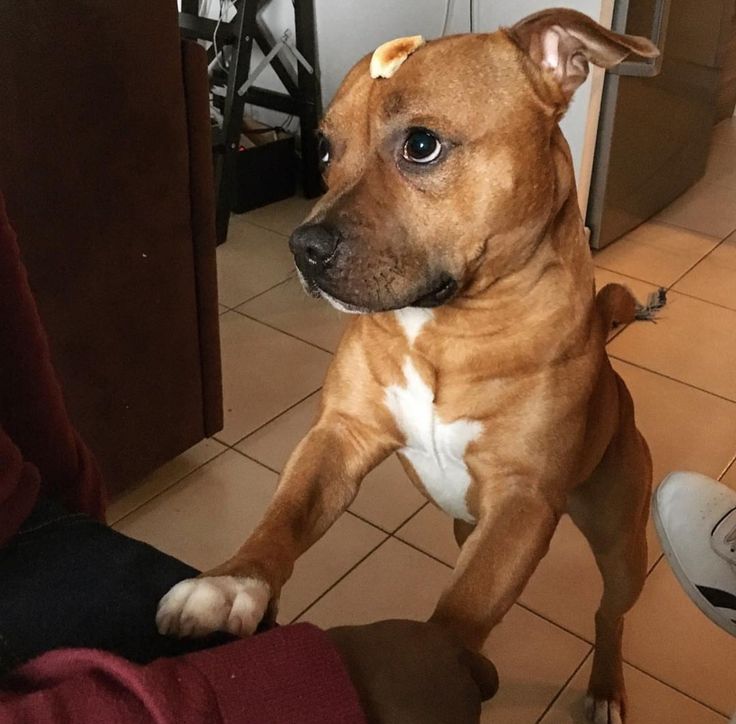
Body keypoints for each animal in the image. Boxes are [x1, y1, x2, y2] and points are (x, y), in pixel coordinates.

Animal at [158, 9, 660, 720]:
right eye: (324, 150)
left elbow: (462, 608)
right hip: (466, 523)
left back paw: (607, 686)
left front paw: (422, 672)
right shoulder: (339, 438)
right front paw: (232, 582)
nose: (302, 246)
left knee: (609, 613)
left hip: (622, 546)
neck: (445, 328)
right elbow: (285, 514)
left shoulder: (522, 500)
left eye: (421, 145)